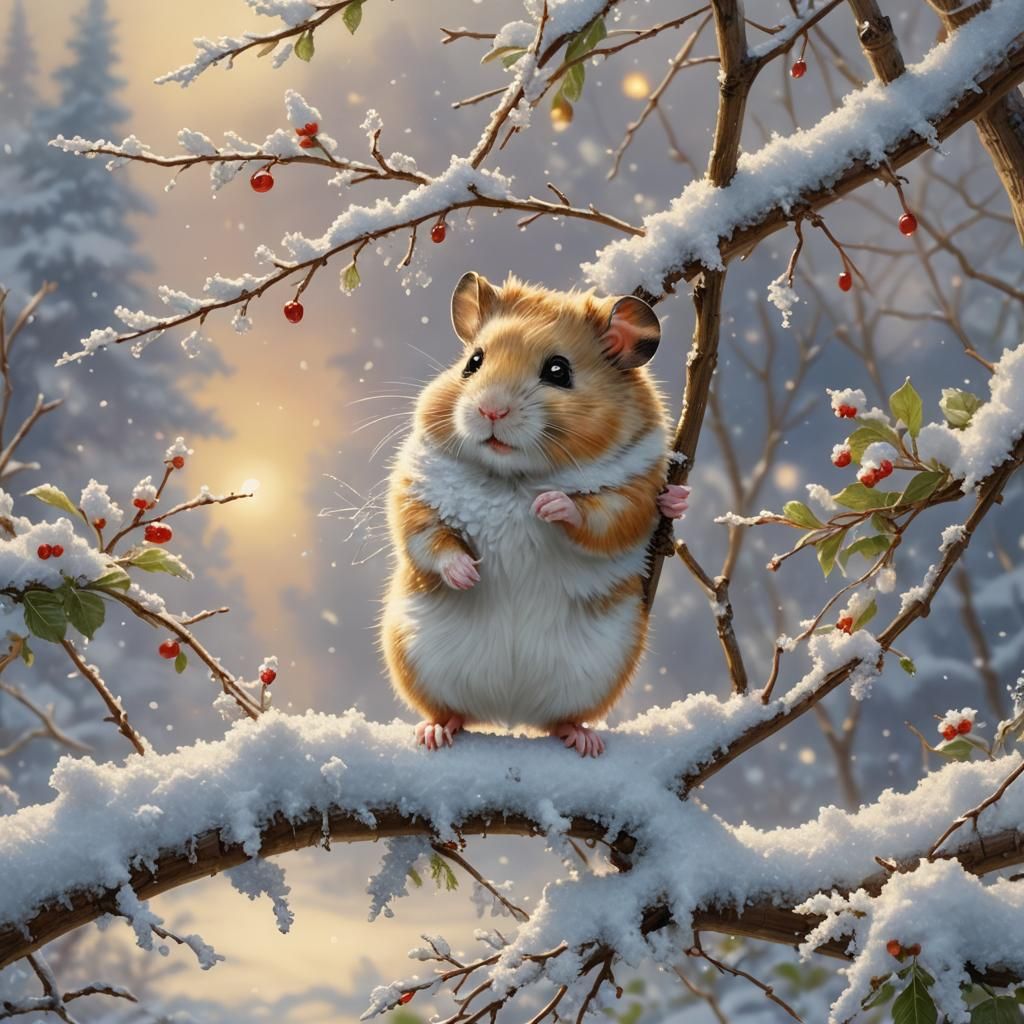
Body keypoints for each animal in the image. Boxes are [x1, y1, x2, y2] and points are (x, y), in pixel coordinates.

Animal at [381, 272, 689, 757]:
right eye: (473, 362)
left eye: (558, 371)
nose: (490, 409)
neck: (514, 477)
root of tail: (509, 716)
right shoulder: (415, 489)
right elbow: (428, 536)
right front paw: (468, 574)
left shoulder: (635, 490)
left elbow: (601, 518)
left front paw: (548, 505)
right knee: (449, 710)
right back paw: (435, 733)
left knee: (560, 720)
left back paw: (583, 740)